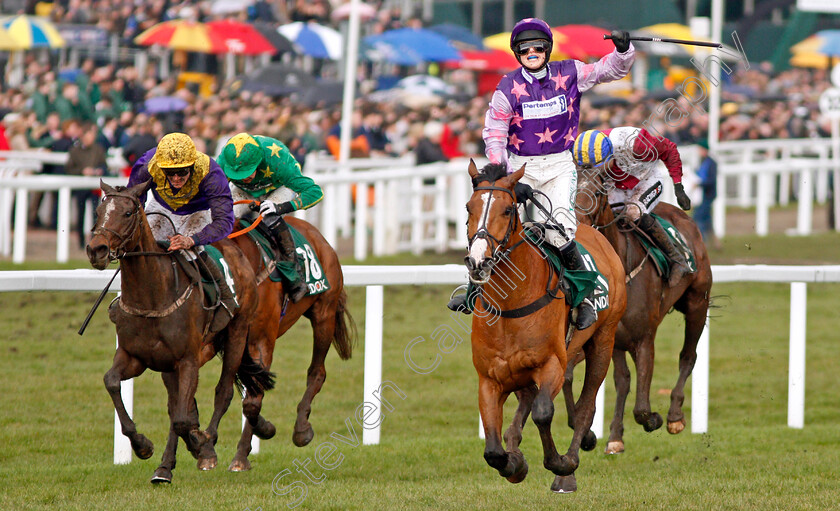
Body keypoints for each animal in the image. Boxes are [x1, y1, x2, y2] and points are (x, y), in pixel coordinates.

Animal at [84, 180, 272, 484]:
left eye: (127, 213)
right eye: (99, 212)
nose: (96, 249)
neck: (152, 296)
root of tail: (236, 248)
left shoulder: (187, 359)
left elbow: (184, 418)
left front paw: (200, 443)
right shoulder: (134, 356)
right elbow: (112, 382)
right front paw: (143, 446)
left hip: (237, 331)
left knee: (223, 392)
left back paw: (207, 441)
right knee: (177, 406)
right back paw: (165, 468)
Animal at [225, 205, 352, 472]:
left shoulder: (261, 338)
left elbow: (253, 398)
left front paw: (247, 449)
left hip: (324, 314)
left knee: (317, 372)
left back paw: (302, 429)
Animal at [462, 162, 628, 494]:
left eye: (507, 209)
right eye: (468, 207)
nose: (477, 262)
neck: (510, 304)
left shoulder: (552, 363)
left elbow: (543, 412)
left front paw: (559, 463)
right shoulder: (490, 378)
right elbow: (493, 449)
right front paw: (514, 463)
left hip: (603, 340)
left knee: (585, 405)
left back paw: (570, 467)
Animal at [576, 166, 716, 454]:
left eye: (598, 191)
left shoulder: (644, 339)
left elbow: (641, 409)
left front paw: (655, 419)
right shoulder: (614, 338)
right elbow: (622, 381)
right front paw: (613, 436)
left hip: (697, 303)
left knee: (688, 356)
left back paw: (675, 416)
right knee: (624, 380)